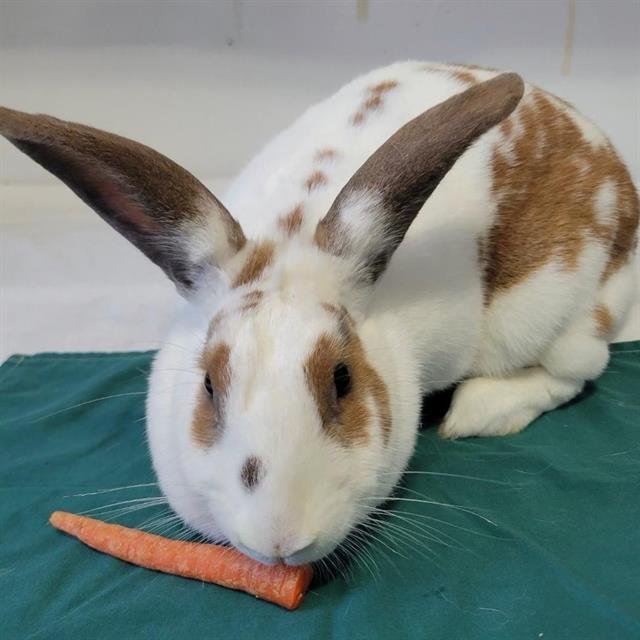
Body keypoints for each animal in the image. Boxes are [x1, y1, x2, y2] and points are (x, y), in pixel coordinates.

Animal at [1, 61, 637, 567]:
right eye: (208, 384)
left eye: (343, 378)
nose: (280, 541)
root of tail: (617, 173)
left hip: (553, 318)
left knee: (575, 370)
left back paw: (476, 412)